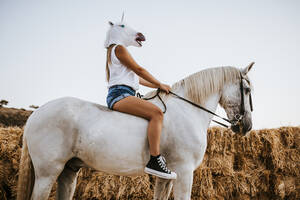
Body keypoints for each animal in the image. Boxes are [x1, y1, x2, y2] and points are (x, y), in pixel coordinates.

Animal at [16, 18, 254, 200]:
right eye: (247, 89)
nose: (247, 126)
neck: (189, 110)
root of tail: (37, 113)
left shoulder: (168, 177)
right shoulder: (185, 172)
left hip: (69, 171)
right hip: (48, 173)